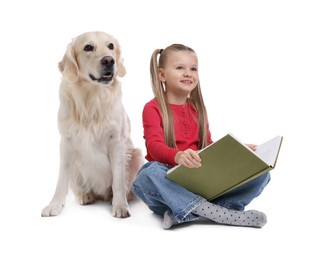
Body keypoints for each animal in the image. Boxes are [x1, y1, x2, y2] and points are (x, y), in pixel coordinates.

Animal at [41, 31, 144, 218]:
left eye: (110, 46)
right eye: (88, 47)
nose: (109, 60)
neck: (91, 98)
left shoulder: (116, 142)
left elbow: (118, 181)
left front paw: (120, 206)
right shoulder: (66, 142)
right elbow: (61, 180)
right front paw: (54, 205)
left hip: (137, 155)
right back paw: (85, 195)